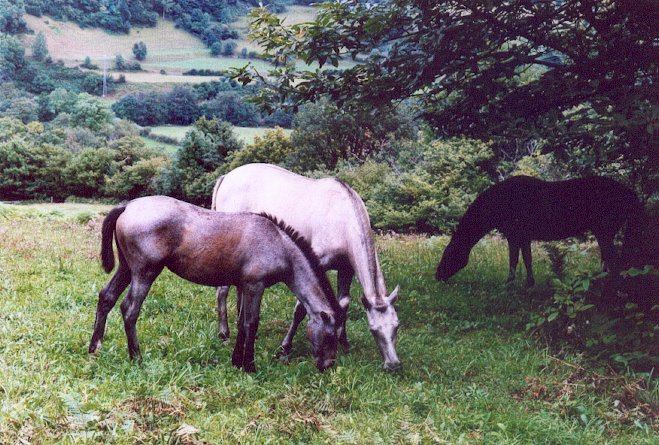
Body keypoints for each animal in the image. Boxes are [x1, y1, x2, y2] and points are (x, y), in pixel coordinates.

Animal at [89, 195, 342, 372]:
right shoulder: (255, 286)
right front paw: (250, 366)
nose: (327, 366)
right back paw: (137, 358)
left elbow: (241, 322)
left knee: (107, 297)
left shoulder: (243, 286)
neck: (278, 244)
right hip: (144, 273)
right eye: (330, 336)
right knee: (129, 310)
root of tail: (128, 206)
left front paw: (236, 360)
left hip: (126, 268)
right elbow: (252, 323)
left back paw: (94, 348)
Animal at [211, 163, 402, 372]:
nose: (393, 364)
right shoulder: (313, 265)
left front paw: (343, 342)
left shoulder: (346, 269)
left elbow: (343, 303)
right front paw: (284, 349)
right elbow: (300, 310)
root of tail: (226, 176)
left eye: (396, 326)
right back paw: (224, 334)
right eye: (373, 329)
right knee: (222, 290)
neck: (342, 219)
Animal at [436, 175, 648, 286]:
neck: (498, 203)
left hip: (604, 230)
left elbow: (514, 259)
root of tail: (631, 194)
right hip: (605, 233)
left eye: (448, 254)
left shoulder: (514, 234)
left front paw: (510, 283)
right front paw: (529, 282)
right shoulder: (523, 236)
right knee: (608, 260)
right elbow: (527, 259)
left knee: (614, 261)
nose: (437, 276)